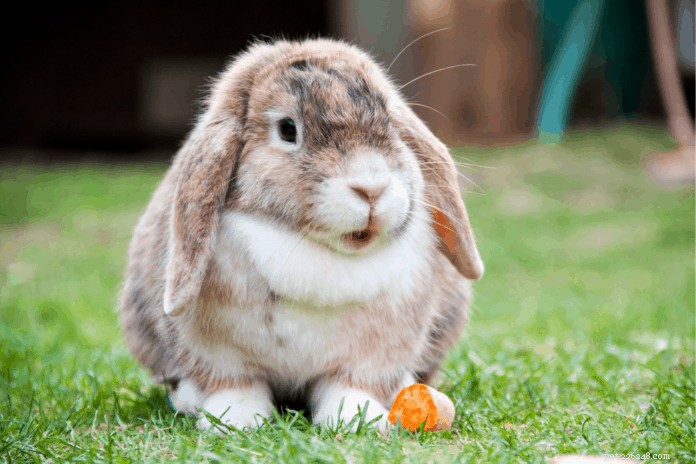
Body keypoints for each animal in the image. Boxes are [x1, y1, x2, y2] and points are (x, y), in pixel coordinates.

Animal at [118, 38, 484, 434]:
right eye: (287, 129)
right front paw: (235, 421)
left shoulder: (371, 355)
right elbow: (236, 385)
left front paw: (357, 420)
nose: (371, 188)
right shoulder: (218, 354)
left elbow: (350, 386)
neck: (317, 251)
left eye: (389, 120)